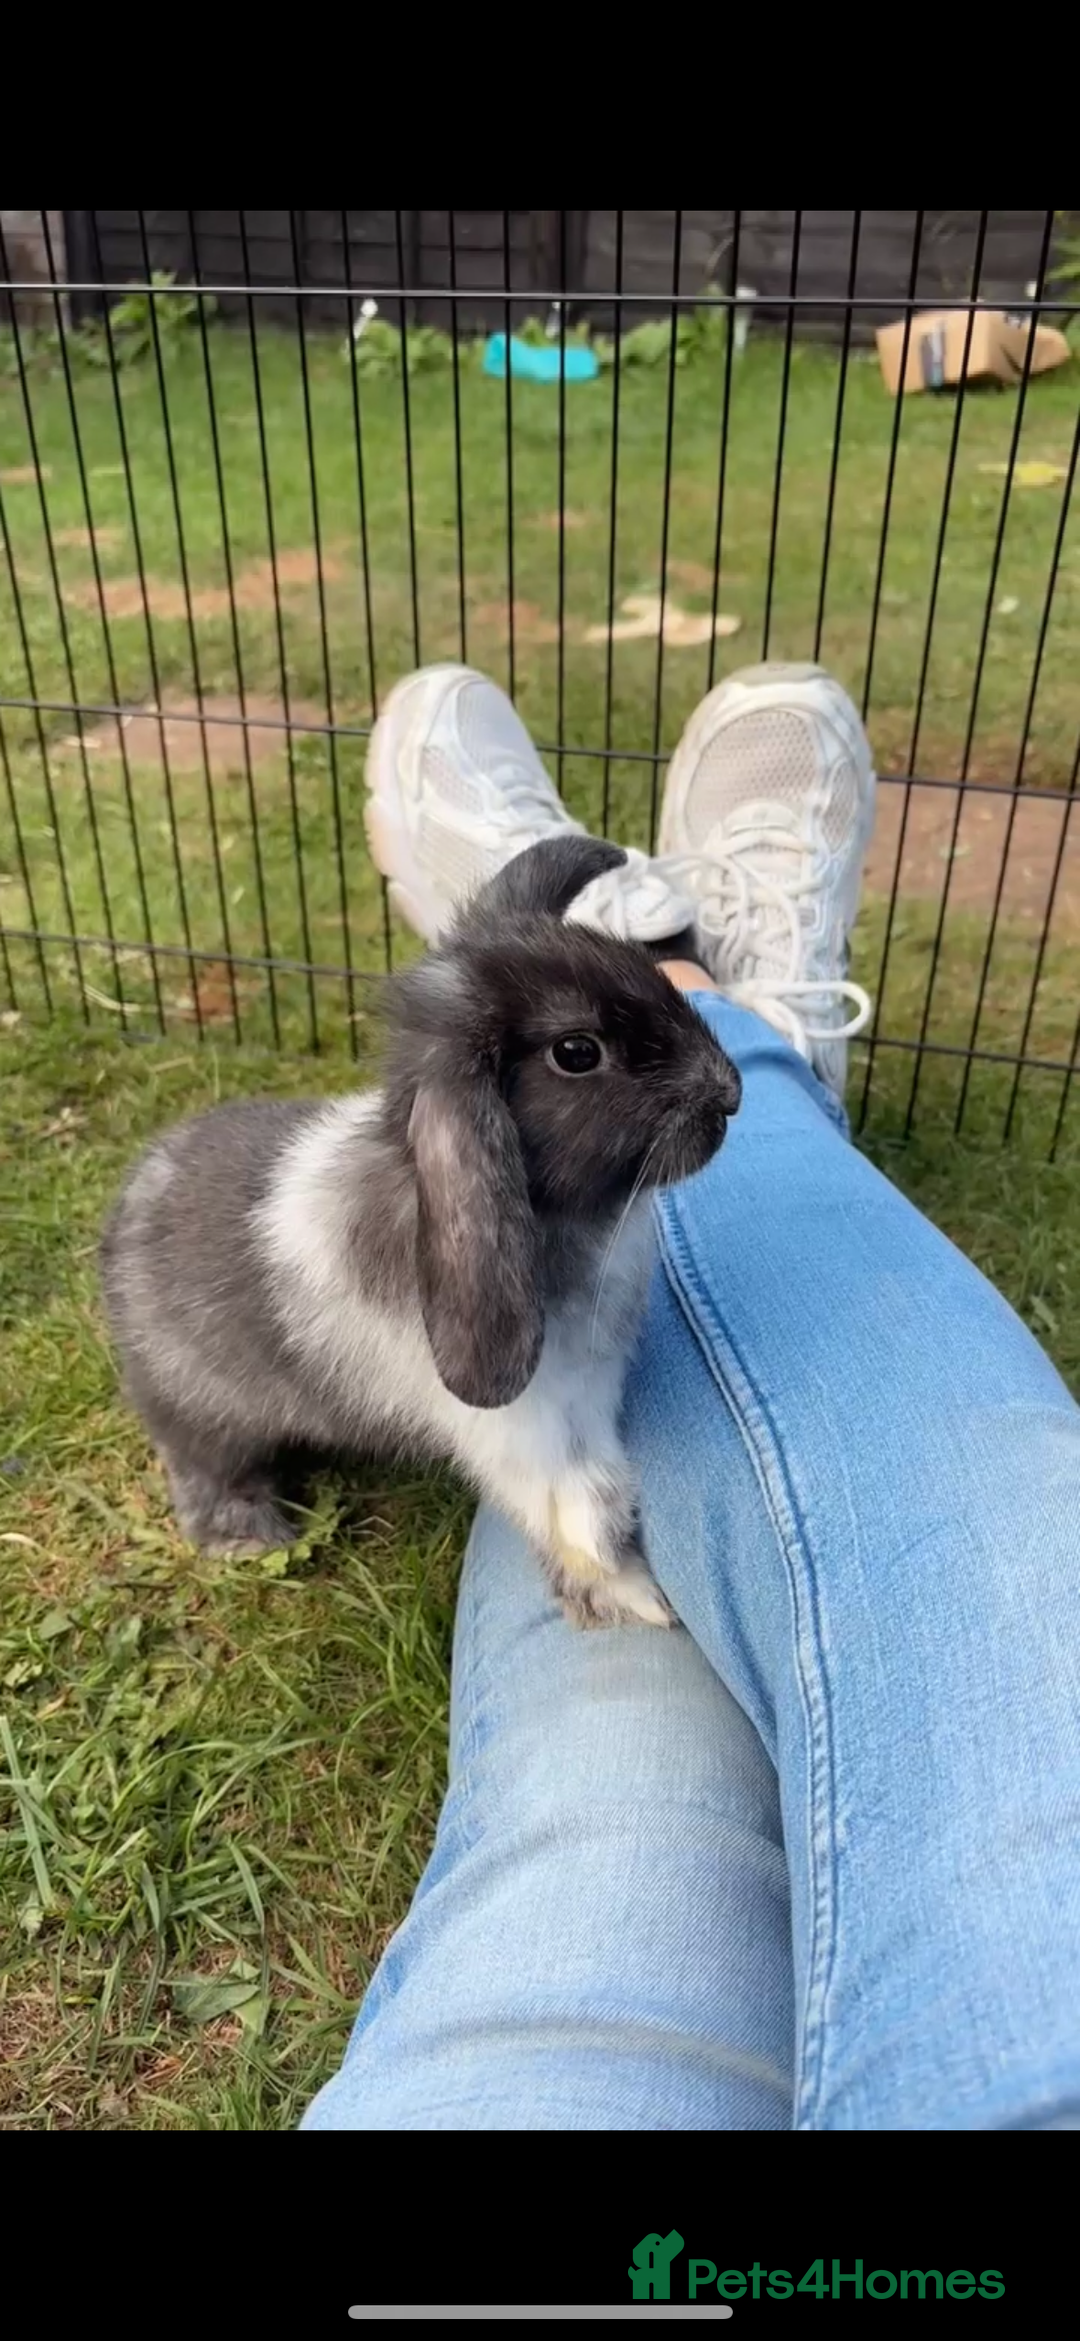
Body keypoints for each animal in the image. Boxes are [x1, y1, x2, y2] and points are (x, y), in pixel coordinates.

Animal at [100, 836, 741, 1629]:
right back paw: (249, 1536)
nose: (731, 1091)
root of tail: (129, 1202)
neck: (565, 1224)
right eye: (577, 1052)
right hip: (199, 1412)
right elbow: (588, 1515)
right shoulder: (531, 1437)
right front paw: (644, 1602)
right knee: (203, 1470)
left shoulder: (589, 1400)